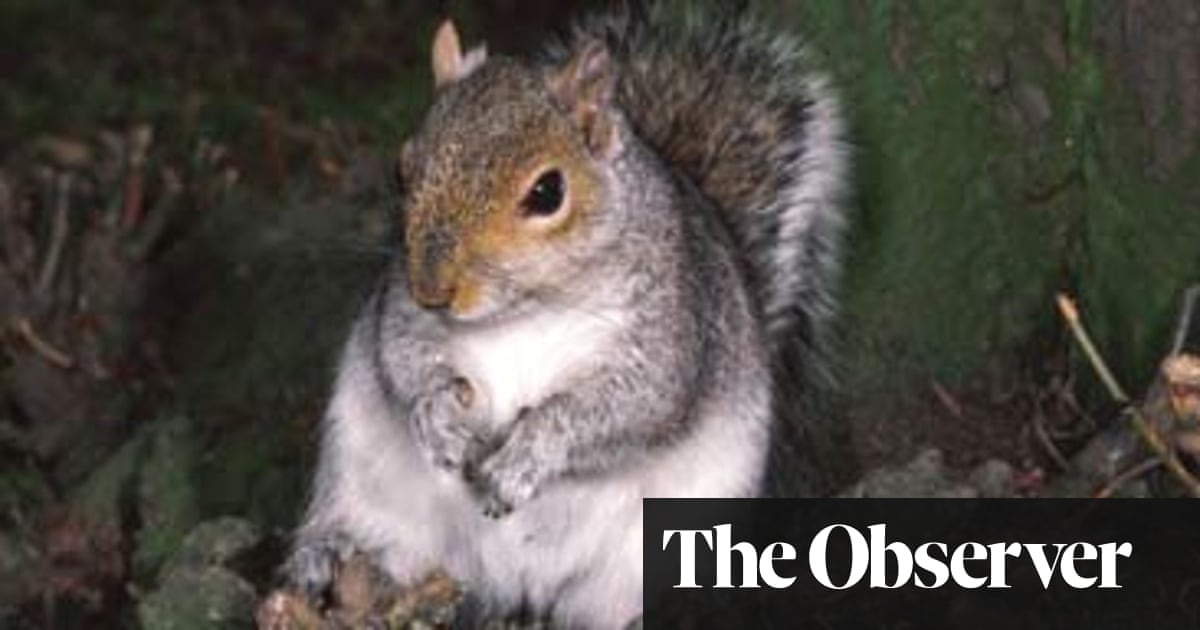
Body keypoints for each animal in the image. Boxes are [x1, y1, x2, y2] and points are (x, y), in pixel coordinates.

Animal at [282, 5, 846, 628]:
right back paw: (325, 560)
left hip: (647, 560)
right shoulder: (400, 313)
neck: (528, 312)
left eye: (548, 191)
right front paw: (436, 413)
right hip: (366, 487)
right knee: (372, 543)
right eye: (402, 171)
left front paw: (529, 452)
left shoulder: (672, 336)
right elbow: (401, 361)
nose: (433, 290)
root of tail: (521, 585)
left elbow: (623, 408)